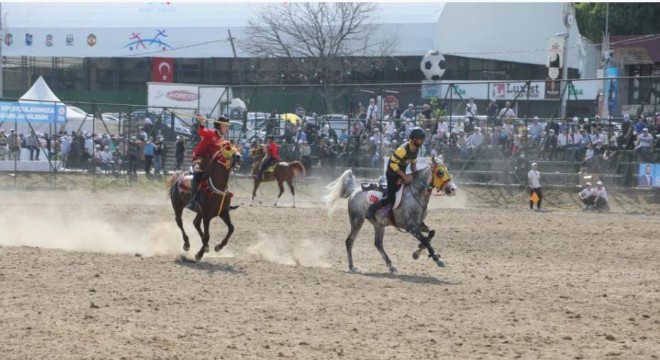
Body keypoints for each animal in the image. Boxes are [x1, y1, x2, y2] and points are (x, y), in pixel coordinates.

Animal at [324, 158, 456, 272]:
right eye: (440, 172)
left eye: (448, 171)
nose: (453, 189)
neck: (415, 194)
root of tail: (354, 191)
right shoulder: (411, 227)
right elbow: (425, 240)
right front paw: (436, 258)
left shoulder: (419, 224)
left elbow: (431, 233)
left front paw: (417, 252)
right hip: (357, 221)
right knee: (349, 242)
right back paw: (352, 267)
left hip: (378, 224)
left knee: (378, 243)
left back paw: (390, 265)